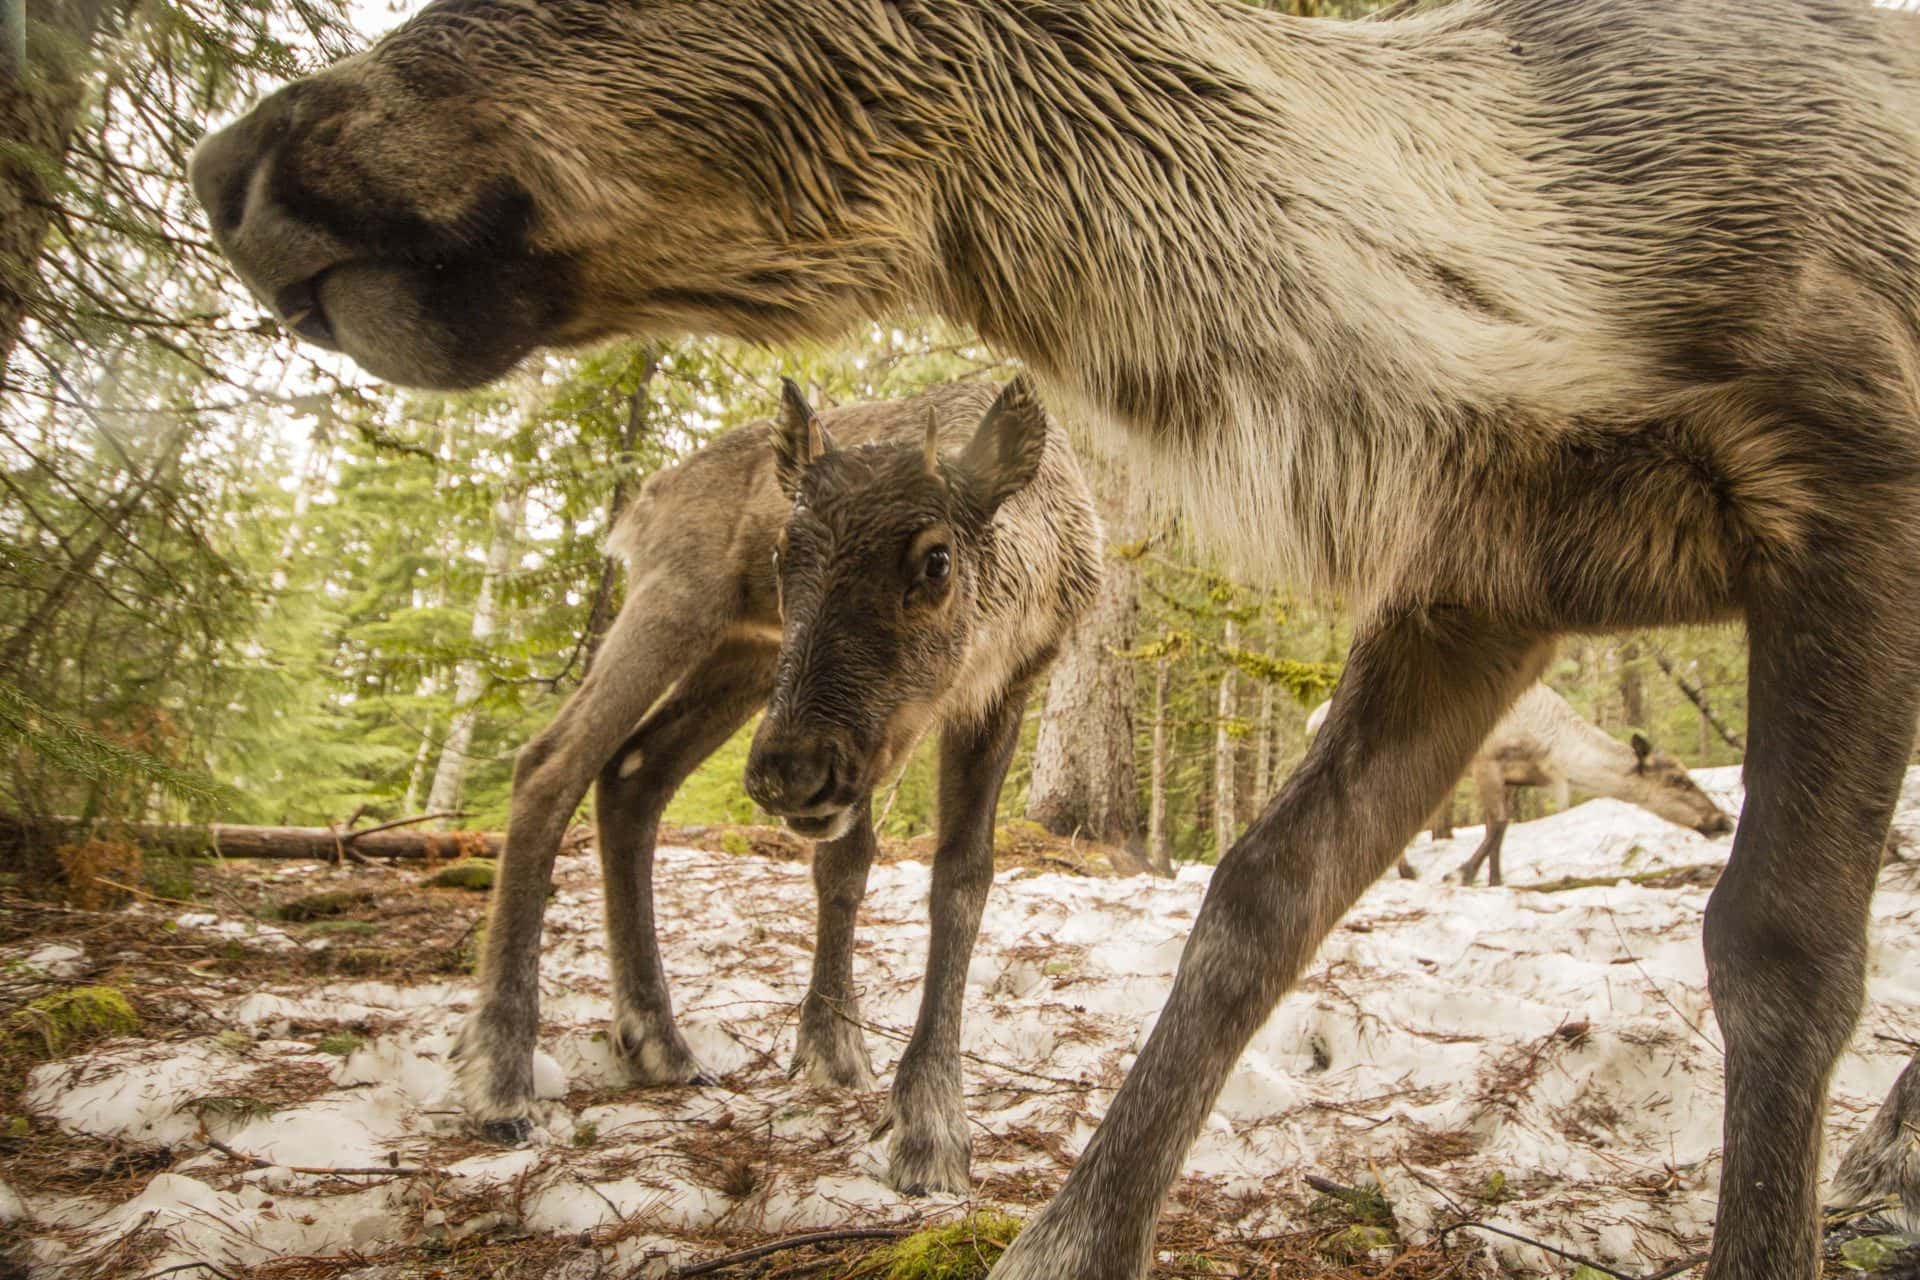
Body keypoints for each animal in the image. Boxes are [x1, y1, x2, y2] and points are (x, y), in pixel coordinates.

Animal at [439, 379, 1098, 1205]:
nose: (785, 774)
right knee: (549, 763)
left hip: (744, 659)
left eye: (937, 560)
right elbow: (855, 866)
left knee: (631, 776)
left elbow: (946, 878)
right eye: (786, 553)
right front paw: (913, 1116)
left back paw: (660, 1043)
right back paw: (502, 1079)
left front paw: (866, 1072)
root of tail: (643, 502)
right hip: (678, 607)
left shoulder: (999, 689)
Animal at [1305, 687, 1743, 886]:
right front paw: (1462, 873)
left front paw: (1495, 880)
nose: (1722, 820)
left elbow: (1501, 829)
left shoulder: (1515, 778)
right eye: (1678, 779)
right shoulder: (1487, 762)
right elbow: (1496, 824)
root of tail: (1313, 718)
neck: (1559, 749)